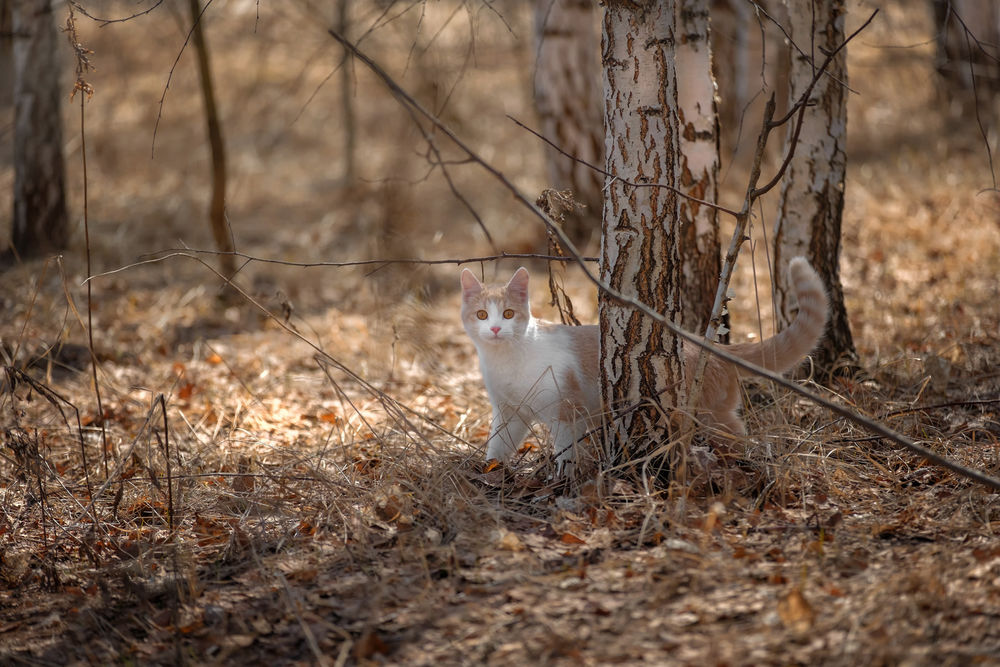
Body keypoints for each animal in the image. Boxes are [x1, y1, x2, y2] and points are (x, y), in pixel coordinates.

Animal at [460, 260, 828, 474]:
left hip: (705, 413)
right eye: (482, 315)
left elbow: (567, 449)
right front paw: (489, 469)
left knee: (738, 435)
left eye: (509, 314)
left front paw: (564, 478)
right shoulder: (509, 412)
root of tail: (702, 343)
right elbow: (499, 442)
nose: (496, 328)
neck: (508, 359)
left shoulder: (568, 412)